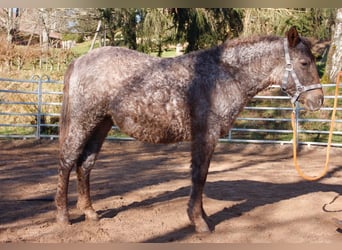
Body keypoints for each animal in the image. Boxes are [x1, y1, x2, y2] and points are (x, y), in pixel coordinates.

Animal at [55, 26, 324, 232]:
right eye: (304, 62)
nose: (318, 100)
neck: (221, 76)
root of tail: (79, 60)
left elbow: (200, 177)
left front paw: (201, 217)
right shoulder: (205, 136)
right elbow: (199, 176)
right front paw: (199, 222)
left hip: (101, 124)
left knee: (85, 164)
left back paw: (90, 212)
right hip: (83, 122)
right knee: (67, 161)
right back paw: (63, 216)